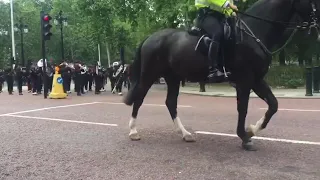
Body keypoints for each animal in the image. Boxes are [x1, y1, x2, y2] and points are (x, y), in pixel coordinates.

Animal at [123, 0, 320, 150]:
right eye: (312, 1)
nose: (317, 27)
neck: (253, 32)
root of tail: (150, 37)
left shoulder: (257, 80)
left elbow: (273, 104)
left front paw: (252, 130)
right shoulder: (245, 80)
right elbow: (243, 108)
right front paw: (245, 137)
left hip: (173, 78)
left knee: (170, 102)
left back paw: (185, 134)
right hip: (149, 74)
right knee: (139, 98)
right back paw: (133, 131)